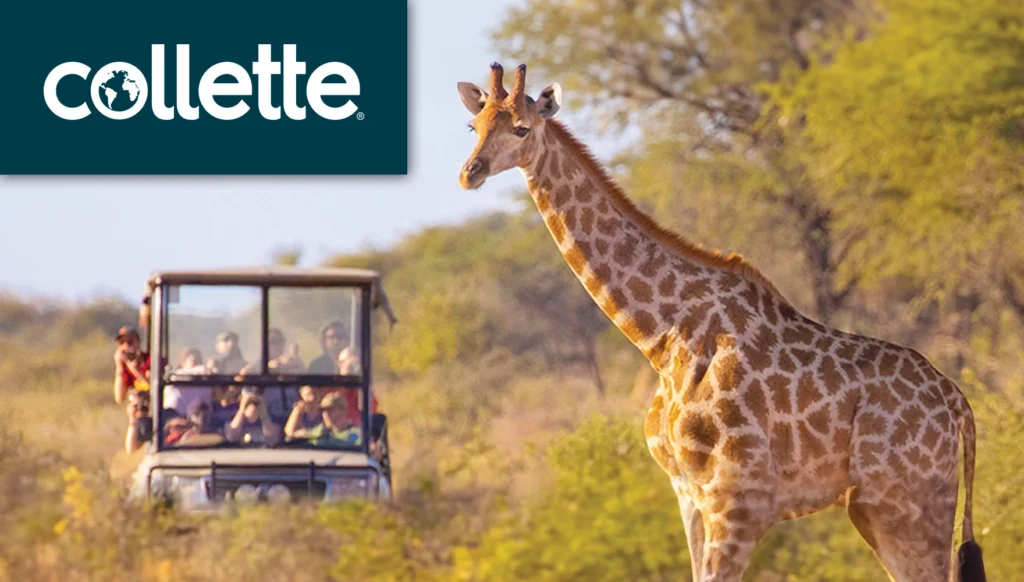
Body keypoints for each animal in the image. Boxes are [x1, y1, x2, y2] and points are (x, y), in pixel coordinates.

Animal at [456, 63, 987, 582]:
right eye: (474, 126)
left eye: (522, 128)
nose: (469, 173)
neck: (662, 338)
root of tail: (958, 403)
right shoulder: (688, 495)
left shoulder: (739, 499)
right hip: (879, 510)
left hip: (907, 503)